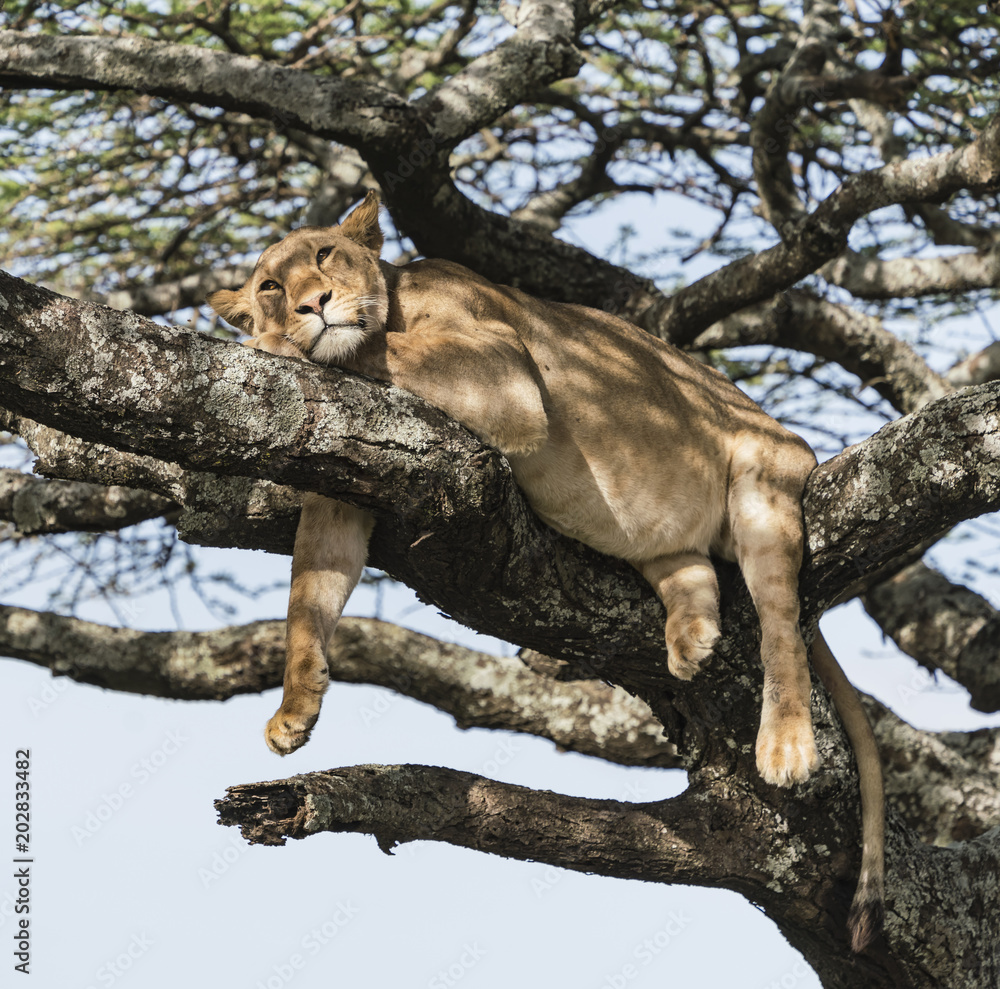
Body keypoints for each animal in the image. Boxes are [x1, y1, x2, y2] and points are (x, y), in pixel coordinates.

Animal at [208, 191, 884, 951]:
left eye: (326, 256)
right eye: (270, 284)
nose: (311, 304)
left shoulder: (502, 375)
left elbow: (367, 346)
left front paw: (273, 343)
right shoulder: (347, 475)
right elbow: (309, 593)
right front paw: (294, 709)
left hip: (763, 481)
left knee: (780, 622)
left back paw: (786, 742)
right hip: (663, 542)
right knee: (691, 570)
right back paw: (692, 637)